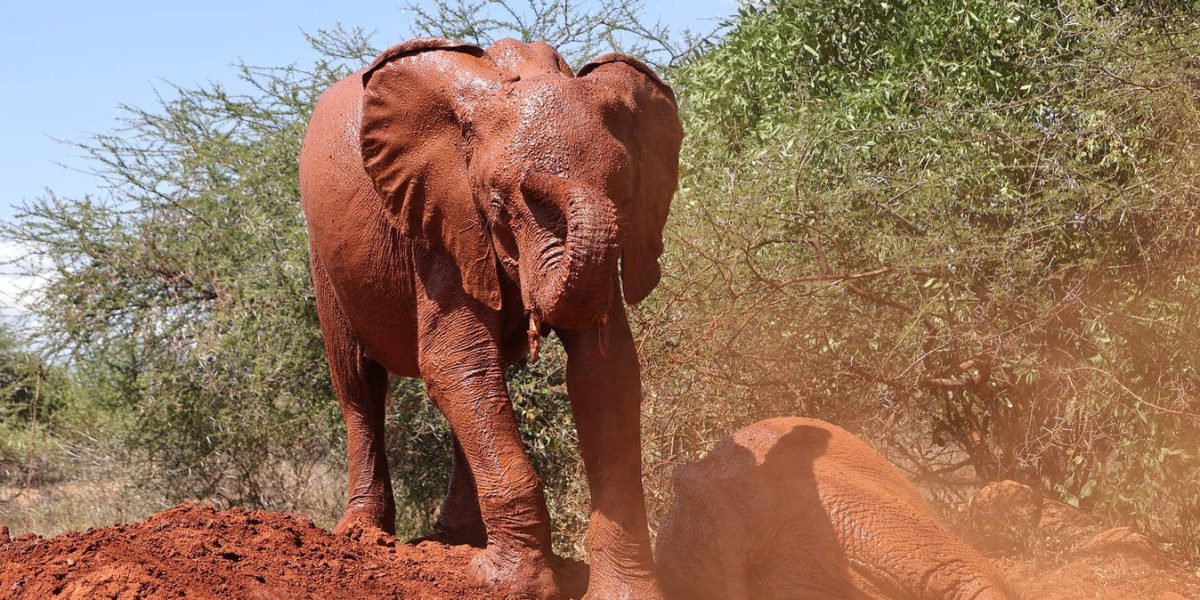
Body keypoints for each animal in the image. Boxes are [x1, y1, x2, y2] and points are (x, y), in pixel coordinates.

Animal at [298, 37, 682, 600]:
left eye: (627, 198)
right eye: (499, 204)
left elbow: (606, 372)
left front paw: (622, 593)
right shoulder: (442, 225)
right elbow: (452, 361)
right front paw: (507, 583)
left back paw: (459, 539)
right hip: (325, 258)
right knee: (359, 383)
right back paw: (365, 535)